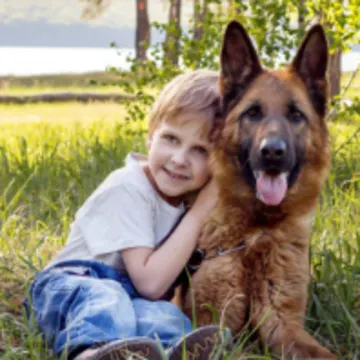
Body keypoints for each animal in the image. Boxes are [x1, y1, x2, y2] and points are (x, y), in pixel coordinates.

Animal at [181, 21, 336, 358]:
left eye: (296, 115)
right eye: (252, 113)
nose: (272, 152)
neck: (257, 231)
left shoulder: (284, 325)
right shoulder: (212, 323)